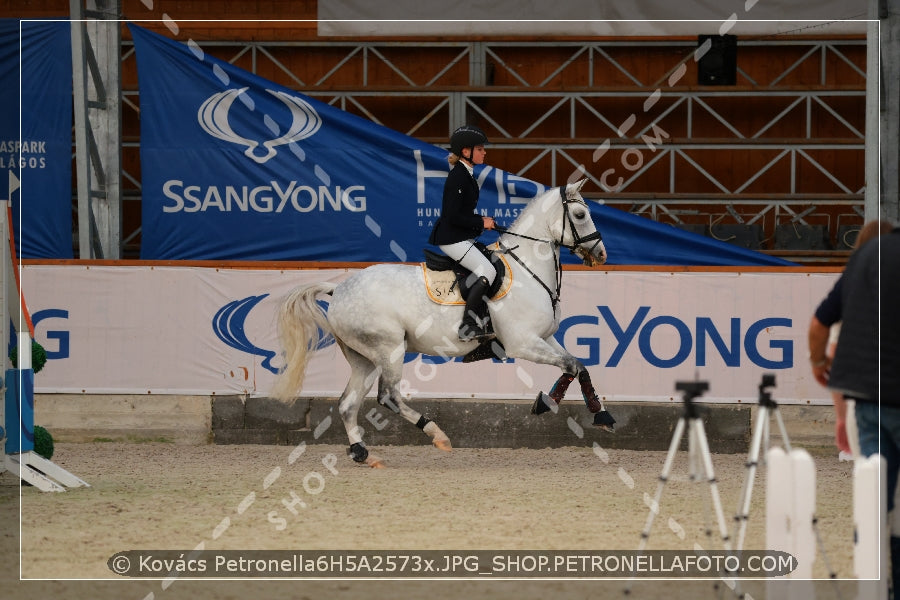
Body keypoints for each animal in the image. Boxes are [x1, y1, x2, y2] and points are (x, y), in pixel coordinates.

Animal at [270, 179, 616, 468]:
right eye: (580, 214)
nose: (601, 254)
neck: (527, 268)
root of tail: (338, 288)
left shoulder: (544, 338)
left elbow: (578, 366)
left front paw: (597, 412)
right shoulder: (522, 343)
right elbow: (571, 365)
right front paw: (550, 403)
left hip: (363, 358)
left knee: (347, 404)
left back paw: (363, 453)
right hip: (389, 348)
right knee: (388, 396)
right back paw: (437, 434)